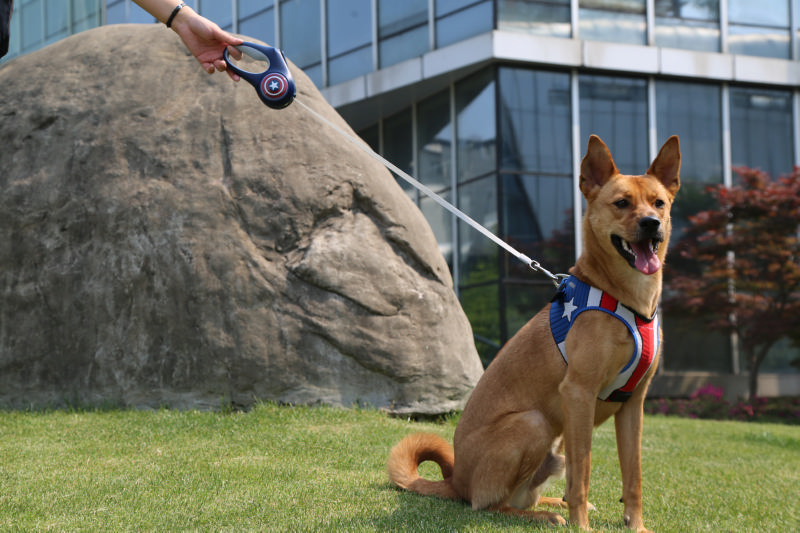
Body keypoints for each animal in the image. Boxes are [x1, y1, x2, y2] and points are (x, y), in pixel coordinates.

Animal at [388, 133, 680, 528]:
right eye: (622, 203)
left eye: (659, 203)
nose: (651, 223)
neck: (626, 302)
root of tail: (456, 480)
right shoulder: (578, 393)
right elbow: (583, 473)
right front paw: (582, 528)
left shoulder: (633, 405)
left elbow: (632, 477)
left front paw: (636, 527)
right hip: (534, 423)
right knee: (489, 505)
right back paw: (544, 516)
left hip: (554, 446)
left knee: (532, 493)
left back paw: (551, 505)